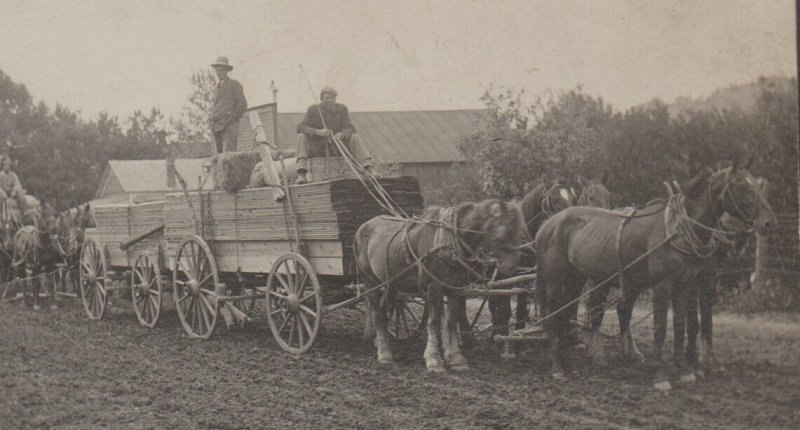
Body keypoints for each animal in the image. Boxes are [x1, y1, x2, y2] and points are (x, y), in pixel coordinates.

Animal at [354, 200, 520, 372]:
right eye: (505, 231)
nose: (512, 267)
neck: (449, 239)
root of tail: (362, 227)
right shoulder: (434, 287)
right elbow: (434, 322)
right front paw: (434, 359)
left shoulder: (454, 288)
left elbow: (451, 321)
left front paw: (455, 358)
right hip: (370, 280)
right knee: (377, 315)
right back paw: (384, 354)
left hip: (391, 283)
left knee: (387, 309)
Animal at [536, 160, 772, 388]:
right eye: (741, 186)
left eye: (757, 185)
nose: (768, 221)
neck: (675, 231)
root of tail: (548, 224)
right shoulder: (664, 285)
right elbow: (662, 327)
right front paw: (661, 372)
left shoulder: (687, 283)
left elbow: (683, 324)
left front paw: (685, 370)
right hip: (560, 280)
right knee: (560, 315)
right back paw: (561, 366)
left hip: (578, 279)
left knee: (574, 314)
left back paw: (573, 363)